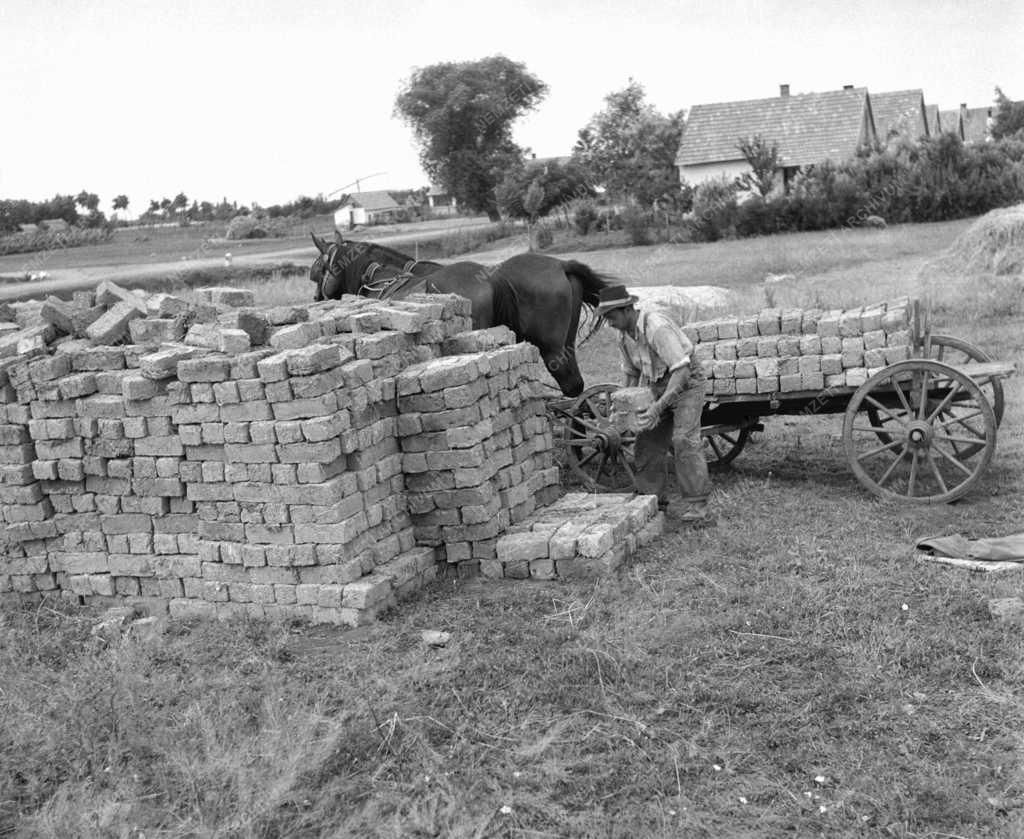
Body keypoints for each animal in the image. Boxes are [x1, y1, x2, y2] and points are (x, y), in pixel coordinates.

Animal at [307, 232, 610, 397]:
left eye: (319, 271)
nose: (316, 298)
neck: (382, 279)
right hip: (564, 345)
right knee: (575, 386)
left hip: (551, 349)